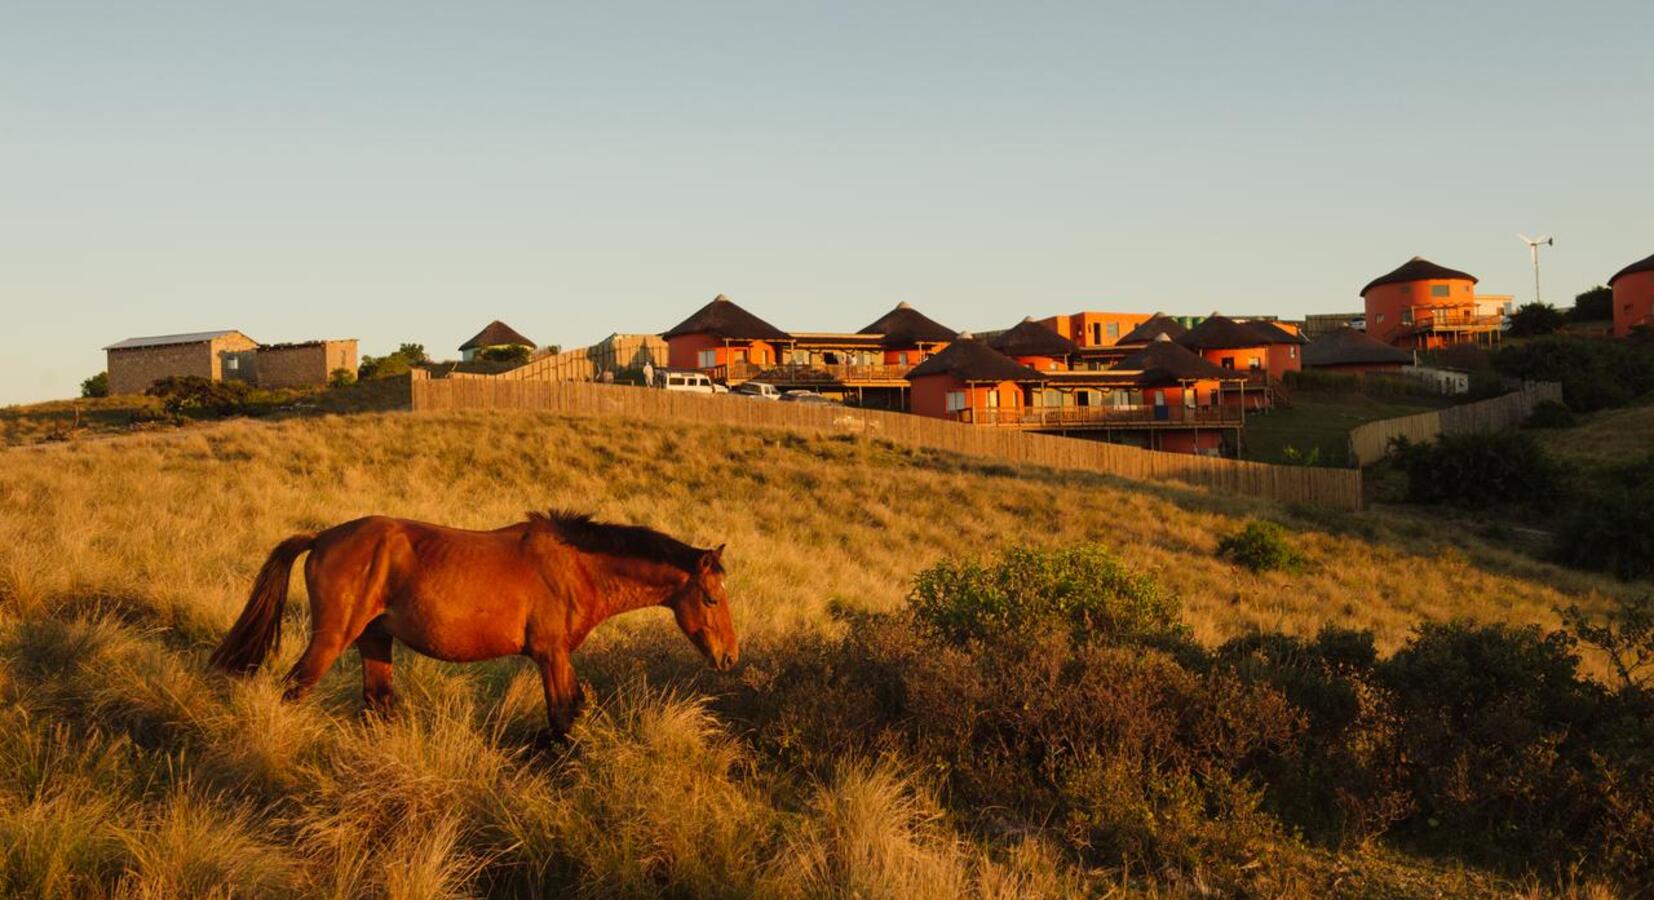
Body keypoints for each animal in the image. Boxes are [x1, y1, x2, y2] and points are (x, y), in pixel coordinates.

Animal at [208, 509, 737, 734]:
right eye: (712, 598)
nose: (730, 657)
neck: (577, 567)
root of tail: (320, 538)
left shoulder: (557, 658)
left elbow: (571, 710)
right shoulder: (551, 656)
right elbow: (562, 715)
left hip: (375, 641)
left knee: (378, 702)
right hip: (331, 639)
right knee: (294, 690)